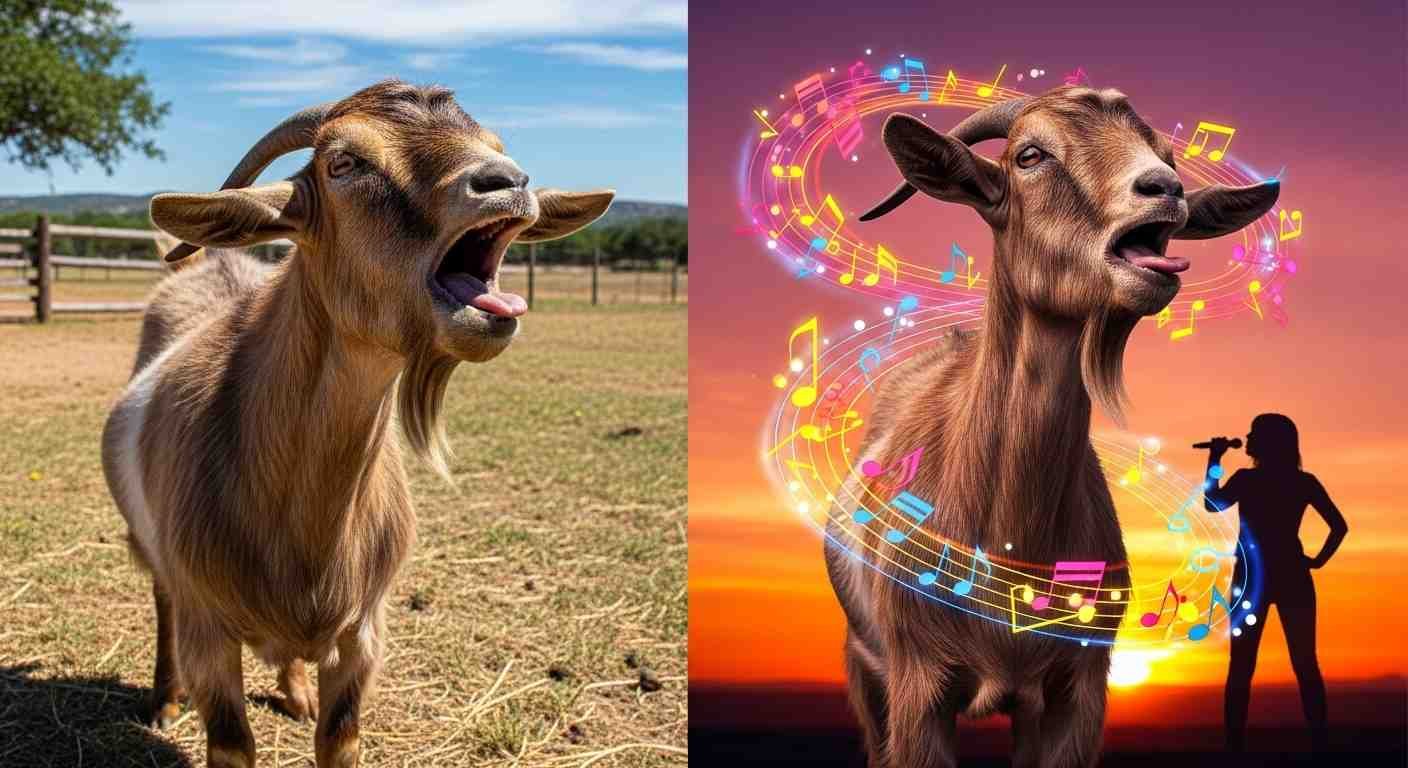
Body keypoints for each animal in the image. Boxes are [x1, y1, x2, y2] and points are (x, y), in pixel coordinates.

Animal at [100, 80, 613, 768]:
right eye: (344, 162)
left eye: (496, 143)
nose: (506, 181)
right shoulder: (207, 623)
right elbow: (231, 742)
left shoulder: (363, 633)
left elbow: (339, 737)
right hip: (156, 555)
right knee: (161, 601)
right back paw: (165, 700)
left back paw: (294, 693)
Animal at [824, 87, 1279, 768]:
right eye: (1030, 155)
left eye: (1169, 156)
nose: (1164, 188)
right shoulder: (917, 685)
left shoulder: (1075, 689)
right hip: (863, 660)